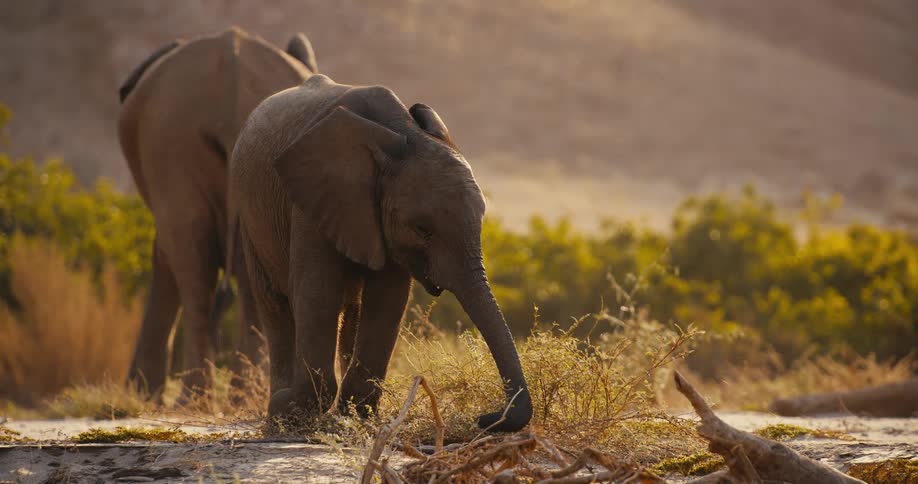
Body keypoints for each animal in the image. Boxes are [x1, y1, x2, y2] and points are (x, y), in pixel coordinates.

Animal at [117, 27, 317, 398]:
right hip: (190, 143)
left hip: (171, 143)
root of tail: (232, 82)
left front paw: (141, 393)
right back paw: (234, 394)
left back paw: (200, 397)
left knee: (193, 260)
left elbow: (163, 256)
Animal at [225, 73, 533, 432]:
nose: (485, 417)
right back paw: (277, 415)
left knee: (352, 310)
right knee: (273, 303)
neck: (403, 134)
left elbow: (387, 300)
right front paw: (294, 410)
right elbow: (317, 293)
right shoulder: (312, 200)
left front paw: (357, 415)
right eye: (423, 229)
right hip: (248, 211)